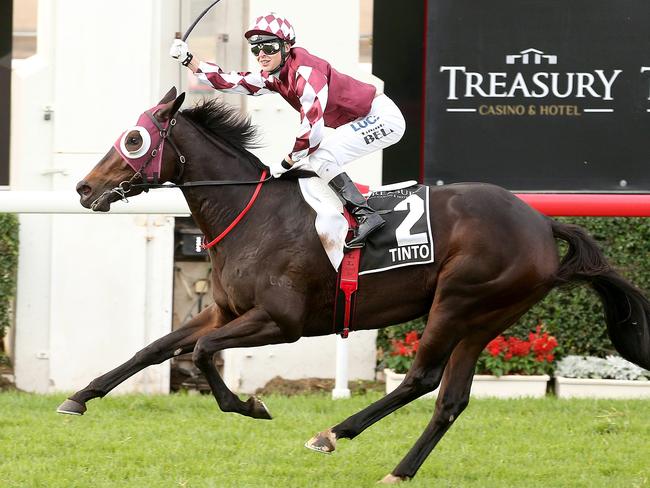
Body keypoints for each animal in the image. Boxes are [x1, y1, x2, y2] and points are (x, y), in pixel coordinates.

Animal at [63, 86, 648, 480]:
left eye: (133, 139)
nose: (84, 187)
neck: (252, 213)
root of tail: (543, 223)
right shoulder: (225, 311)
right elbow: (154, 348)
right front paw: (80, 397)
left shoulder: (282, 322)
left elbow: (203, 352)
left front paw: (252, 406)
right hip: (487, 318)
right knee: (450, 398)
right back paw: (398, 469)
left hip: (460, 302)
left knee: (421, 379)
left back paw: (333, 434)